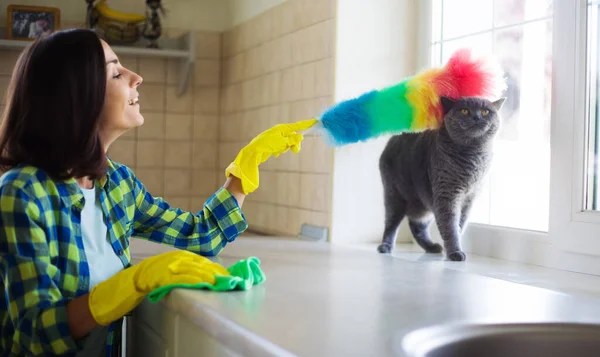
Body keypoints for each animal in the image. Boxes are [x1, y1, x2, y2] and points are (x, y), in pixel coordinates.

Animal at [378, 96, 504, 260]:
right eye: (464, 111)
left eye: (485, 111)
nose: (476, 117)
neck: (473, 158)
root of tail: (395, 136)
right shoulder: (447, 195)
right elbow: (450, 226)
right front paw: (455, 253)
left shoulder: (468, 200)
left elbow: (459, 224)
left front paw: (452, 249)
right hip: (394, 195)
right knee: (391, 223)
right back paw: (385, 247)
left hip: (424, 204)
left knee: (416, 225)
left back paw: (432, 247)